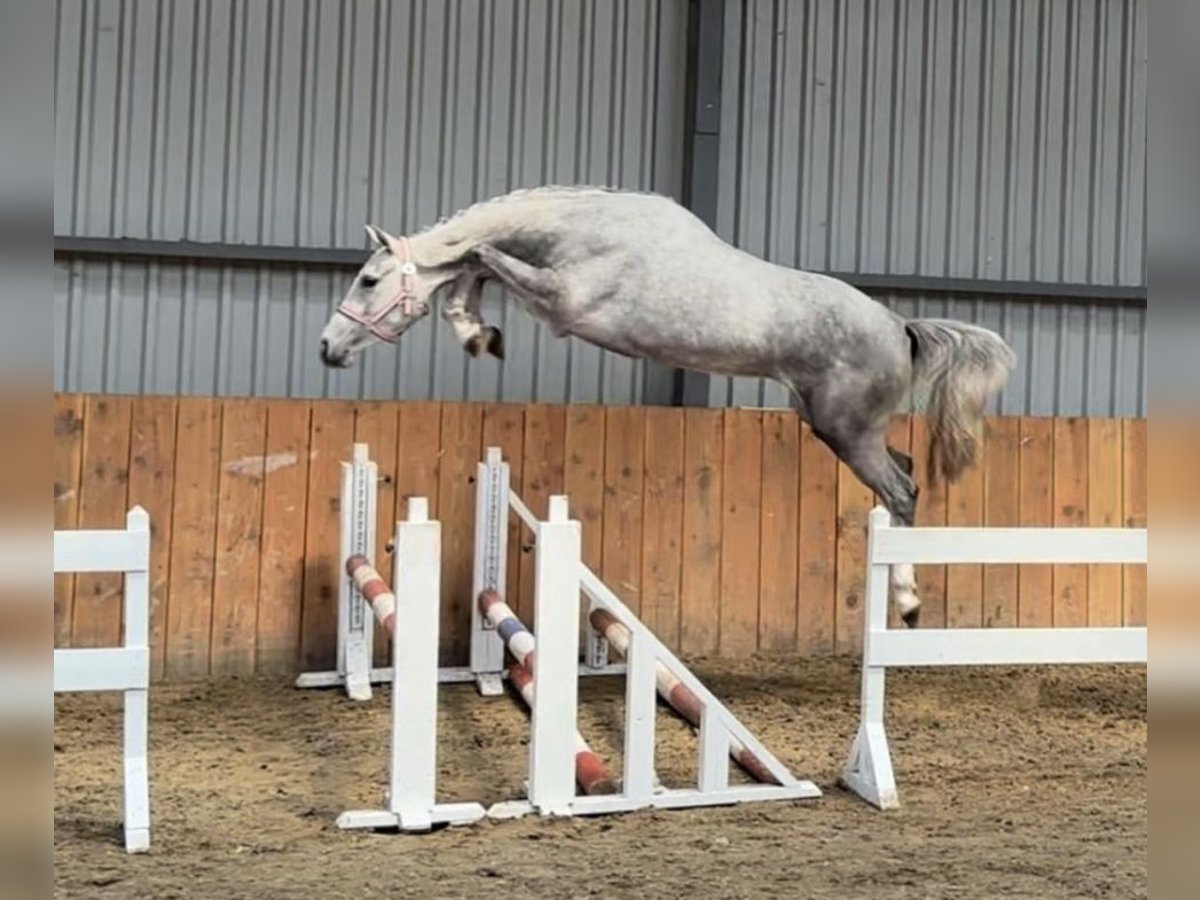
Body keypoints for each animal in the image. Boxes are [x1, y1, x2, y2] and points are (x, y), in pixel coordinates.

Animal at [319, 184, 1012, 628]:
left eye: (369, 280)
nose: (328, 348)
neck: (586, 233)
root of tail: (901, 327)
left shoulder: (561, 303)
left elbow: (478, 256)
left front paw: (474, 329)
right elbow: (474, 266)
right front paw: (477, 334)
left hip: (847, 430)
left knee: (902, 489)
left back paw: (908, 601)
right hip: (839, 428)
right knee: (905, 474)